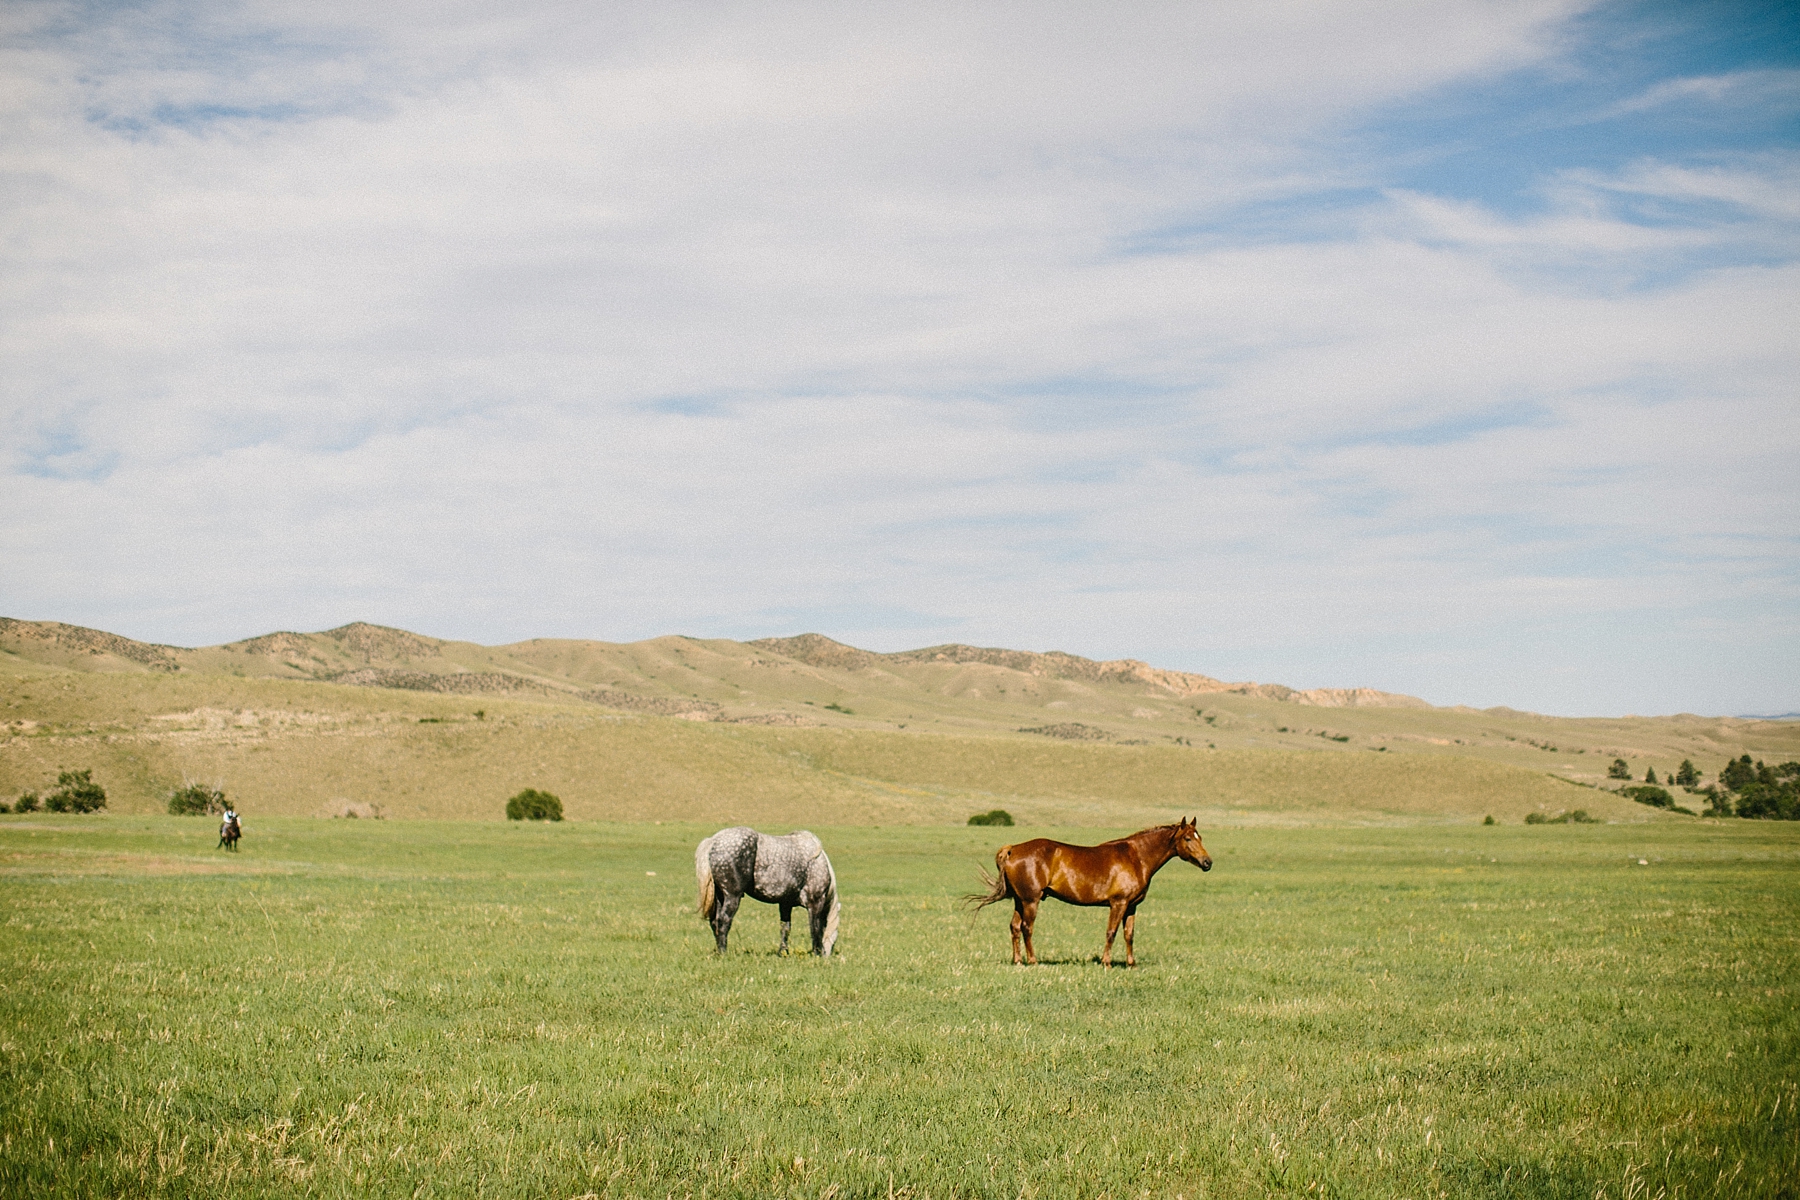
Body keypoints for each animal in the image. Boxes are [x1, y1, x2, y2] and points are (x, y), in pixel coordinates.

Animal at [698, 831, 846, 964]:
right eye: (834, 940)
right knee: (724, 921)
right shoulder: (815, 903)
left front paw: (783, 953)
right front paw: (817, 953)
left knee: (715, 922)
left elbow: (785, 928)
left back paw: (719, 951)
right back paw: (723, 952)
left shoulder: (785, 904)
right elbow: (816, 928)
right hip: (732, 896)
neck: (819, 862)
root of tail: (713, 841)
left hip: (720, 897)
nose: (826, 955)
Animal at [972, 820, 1209, 971]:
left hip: (1020, 901)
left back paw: (1018, 961)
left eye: (1200, 837)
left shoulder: (1132, 906)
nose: (1208, 862)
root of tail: (1013, 849)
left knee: (1014, 927)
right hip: (1031, 901)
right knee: (1026, 928)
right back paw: (1032, 961)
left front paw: (1131, 964)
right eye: (1188, 838)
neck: (1136, 857)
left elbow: (1129, 935)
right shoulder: (1118, 903)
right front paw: (1106, 962)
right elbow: (1111, 933)